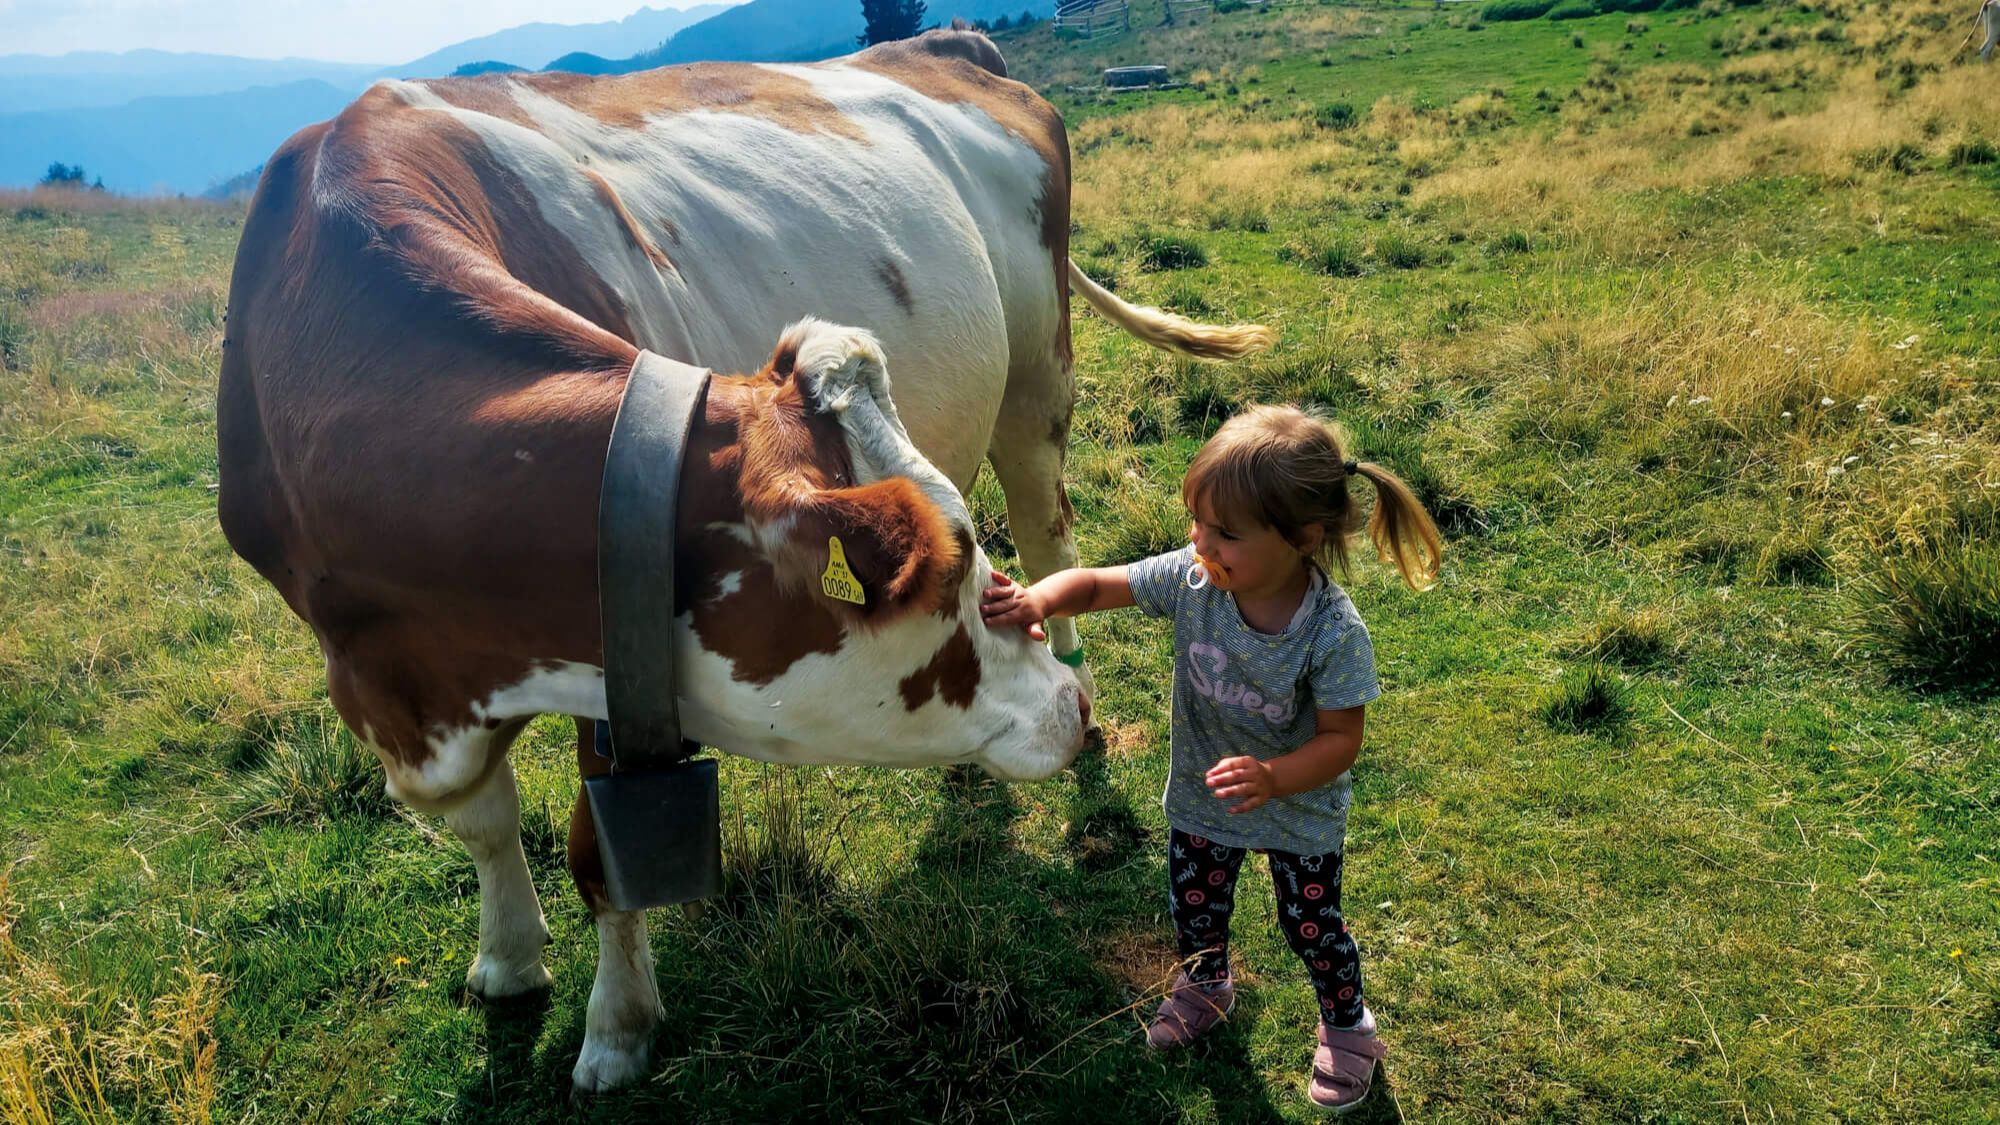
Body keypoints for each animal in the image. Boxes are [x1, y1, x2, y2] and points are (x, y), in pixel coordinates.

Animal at [215, 26, 1264, 1088]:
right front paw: (507, 956)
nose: (1067, 706)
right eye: (950, 576)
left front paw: (617, 1027)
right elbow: (484, 820)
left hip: (1037, 370)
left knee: (1047, 521)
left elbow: (601, 854)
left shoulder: (618, 655)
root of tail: (945, 44)